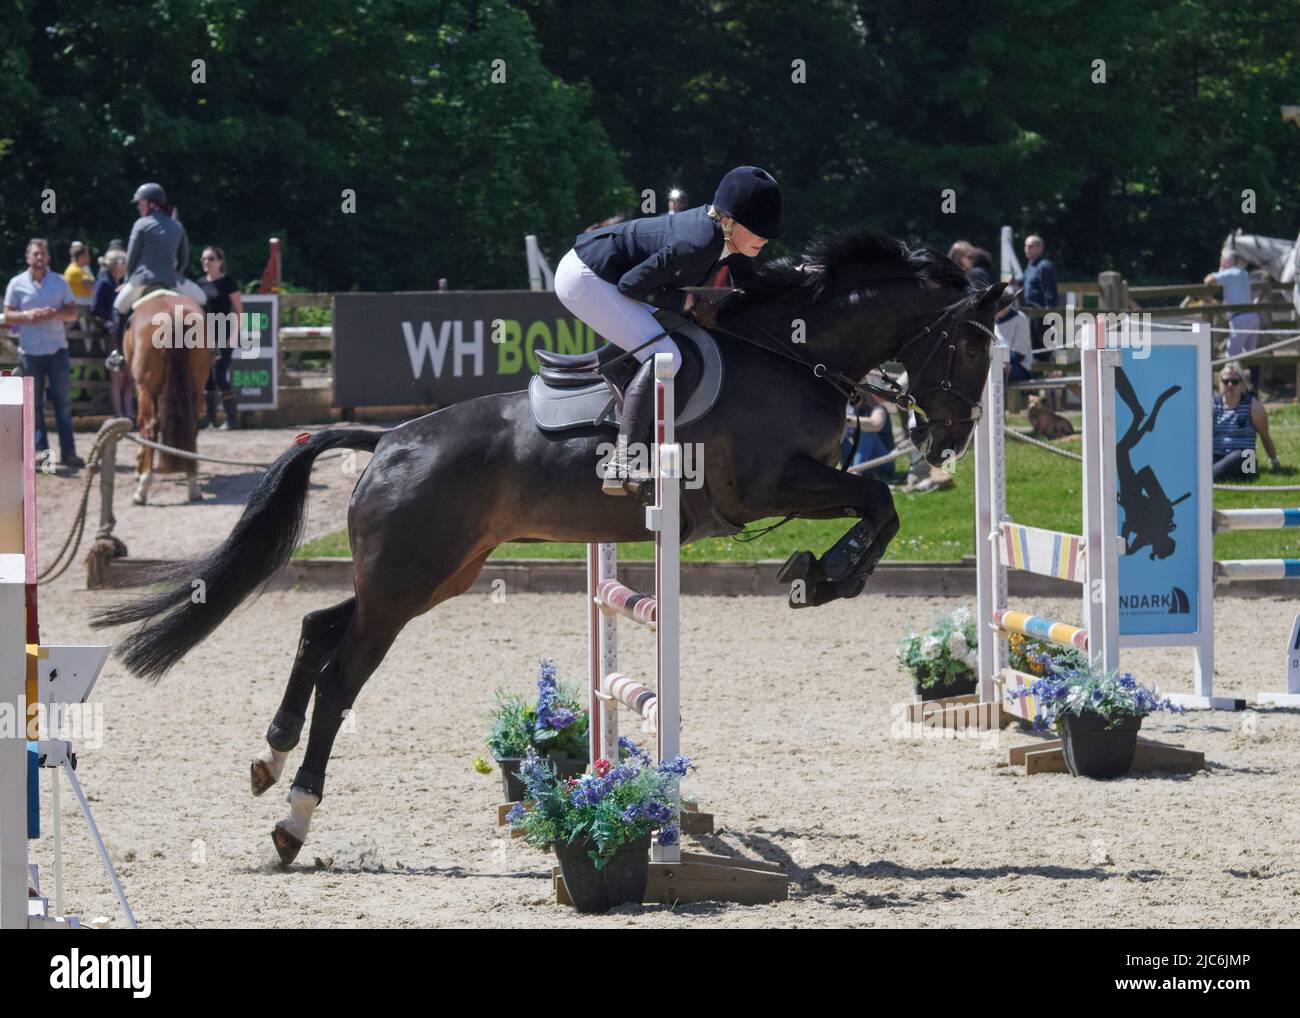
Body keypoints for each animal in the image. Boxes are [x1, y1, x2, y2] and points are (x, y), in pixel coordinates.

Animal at [94, 232, 1003, 868]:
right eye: (971, 346)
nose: (950, 441)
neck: (795, 351)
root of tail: (389, 439)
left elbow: (879, 506)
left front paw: (820, 574)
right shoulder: (767, 485)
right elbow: (880, 501)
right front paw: (823, 576)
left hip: (434, 576)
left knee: (318, 627)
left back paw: (267, 756)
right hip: (409, 582)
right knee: (342, 677)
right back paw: (293, 820)